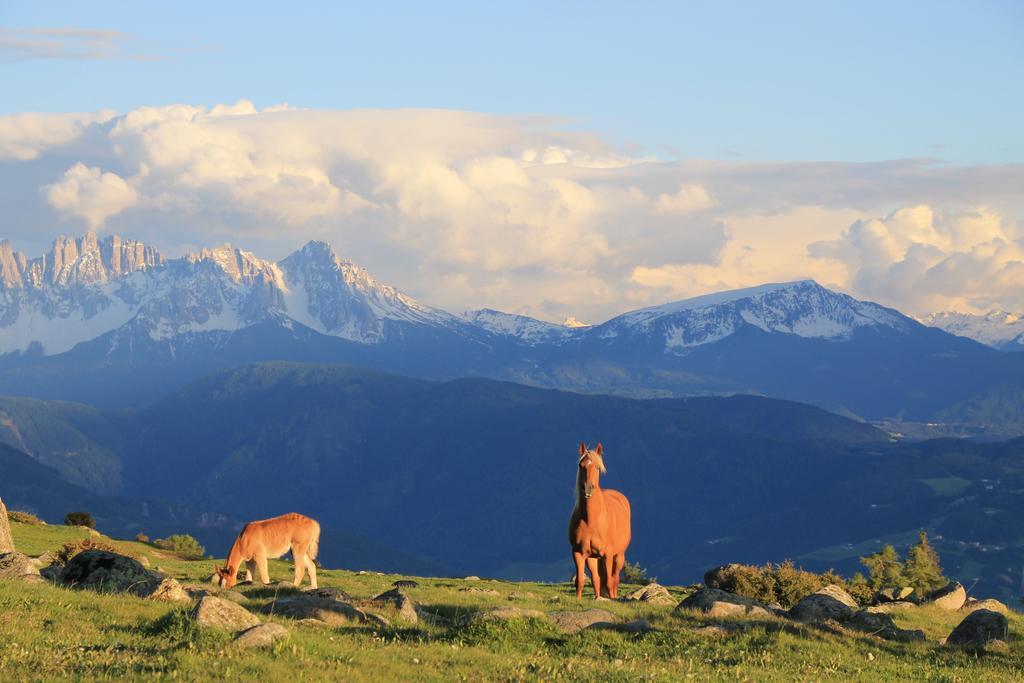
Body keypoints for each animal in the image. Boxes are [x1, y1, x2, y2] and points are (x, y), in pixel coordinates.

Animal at [569, 444, 630, 598]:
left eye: (597, 467)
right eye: (581, 465)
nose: (588, 488)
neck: (590, 520)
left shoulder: (607, 554)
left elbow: (609, 582)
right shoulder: (578, 553)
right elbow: (580, 581)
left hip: (618, 556)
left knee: (615, 579)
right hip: (593, 557)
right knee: (597, 579)